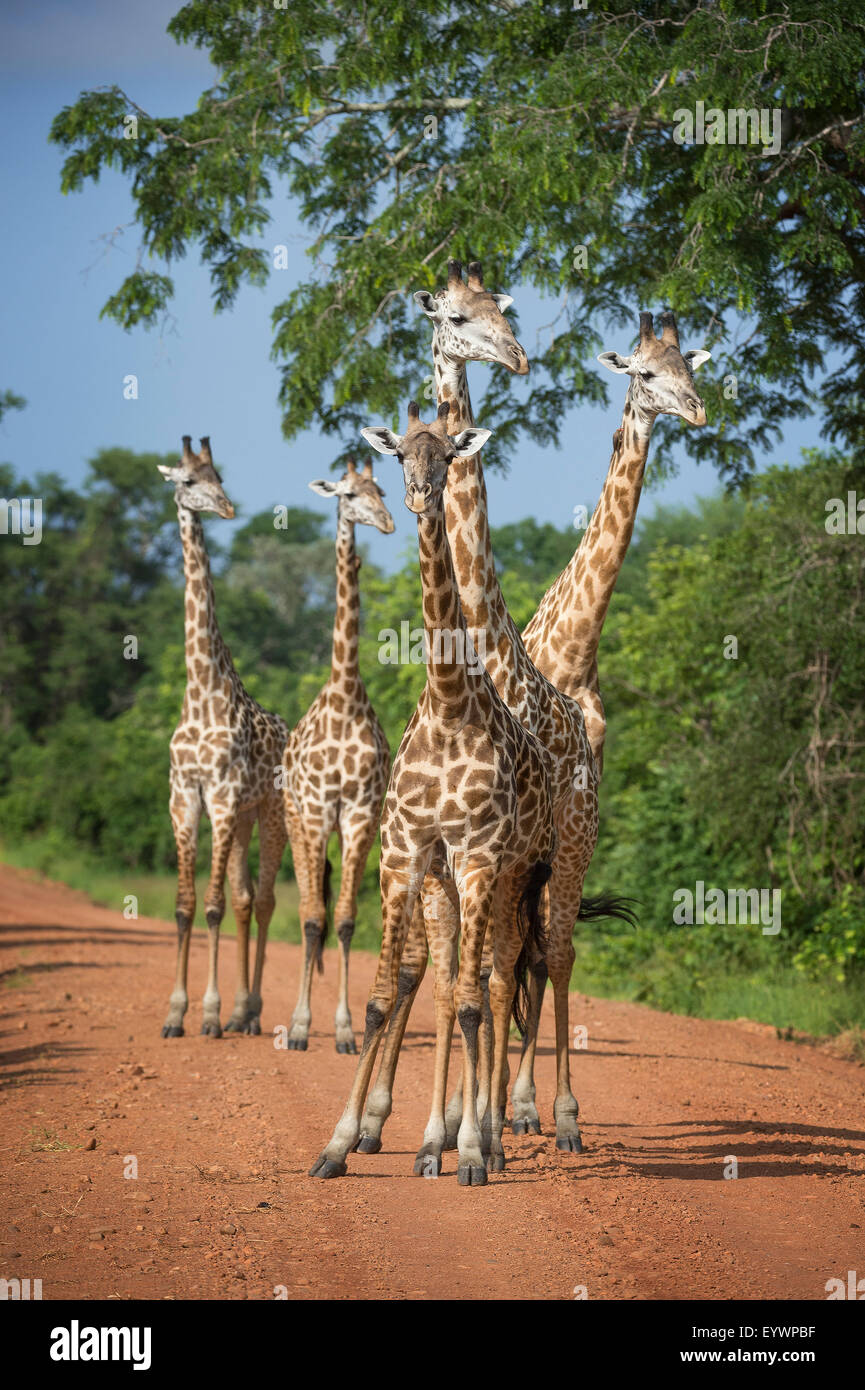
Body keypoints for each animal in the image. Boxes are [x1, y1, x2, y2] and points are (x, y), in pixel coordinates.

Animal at [308, 400, 559, 1184]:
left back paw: (492, 1138)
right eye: (398, 455)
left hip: (515, 874)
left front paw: (473, 1151)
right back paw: (429, 1140)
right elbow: (384, 998)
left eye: (449, 455)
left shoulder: (478, 855)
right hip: (448, 879)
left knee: (499, 983)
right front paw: (337, 1143)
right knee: (454, 984)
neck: (449, 703)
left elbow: (477, 1003)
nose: (420, 494)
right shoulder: (406, 852)